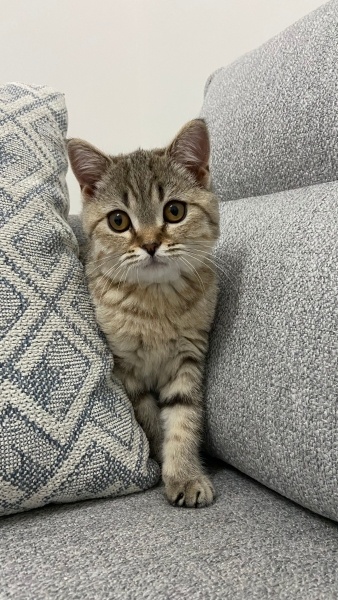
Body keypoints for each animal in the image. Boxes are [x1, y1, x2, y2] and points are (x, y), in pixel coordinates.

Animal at [67, 118, 220, 506]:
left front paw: (184, 474)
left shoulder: (188, 359)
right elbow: (149, 419)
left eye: (174, 211)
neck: (156, 306)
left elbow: (183, 418)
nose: (150, 244)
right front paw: (161, 459)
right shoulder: (125, 370)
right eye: (118, 221)